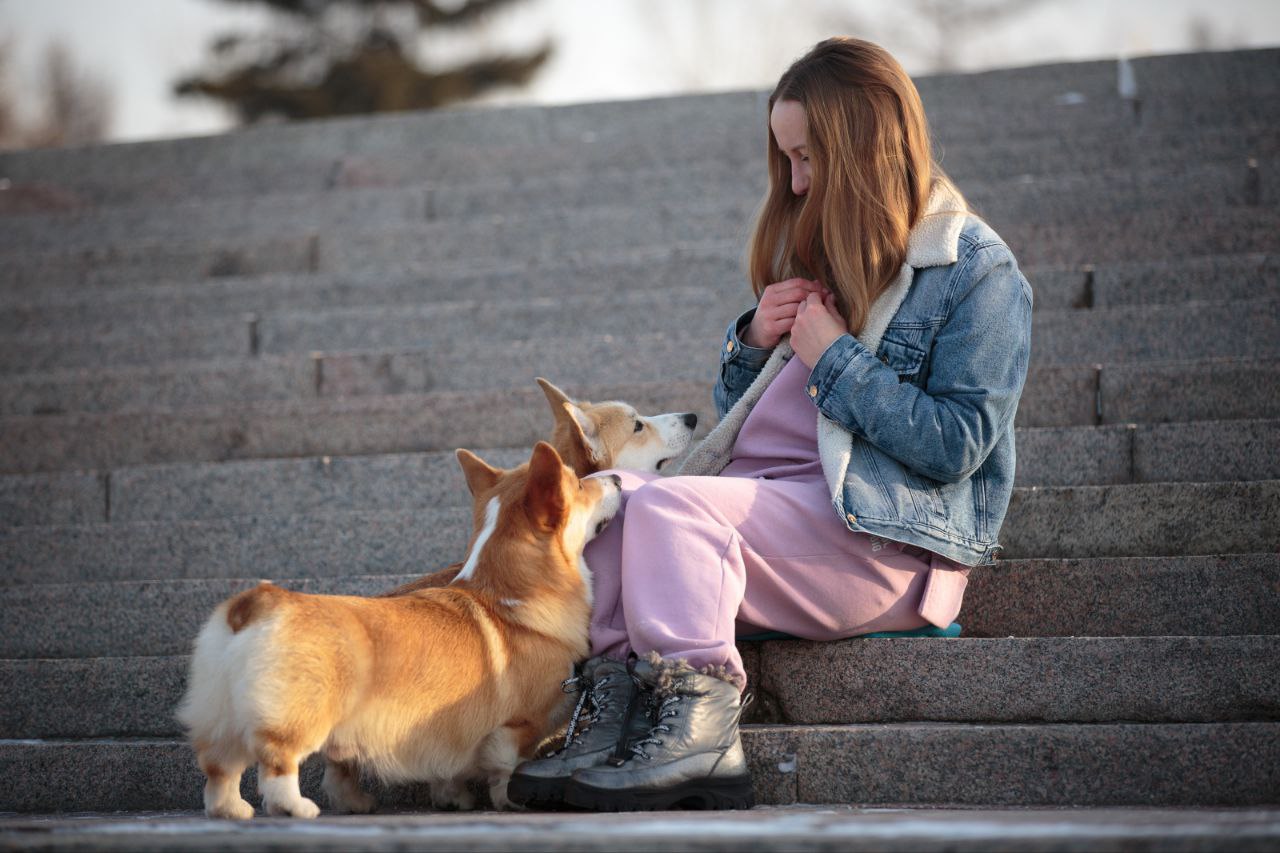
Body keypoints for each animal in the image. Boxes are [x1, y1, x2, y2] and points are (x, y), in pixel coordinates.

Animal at [176, 440, 624, 814]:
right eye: (578, 484)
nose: (619, 478)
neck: (510, 595)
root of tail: (256, 604)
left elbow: (449, 770)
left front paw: (453, 798)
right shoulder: (517, 726)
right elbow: (507, 767)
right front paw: (510, 801)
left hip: (223, 715)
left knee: (222, 768)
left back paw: (241, 810)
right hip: (298, 715)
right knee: (277, 762)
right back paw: (296, 808)